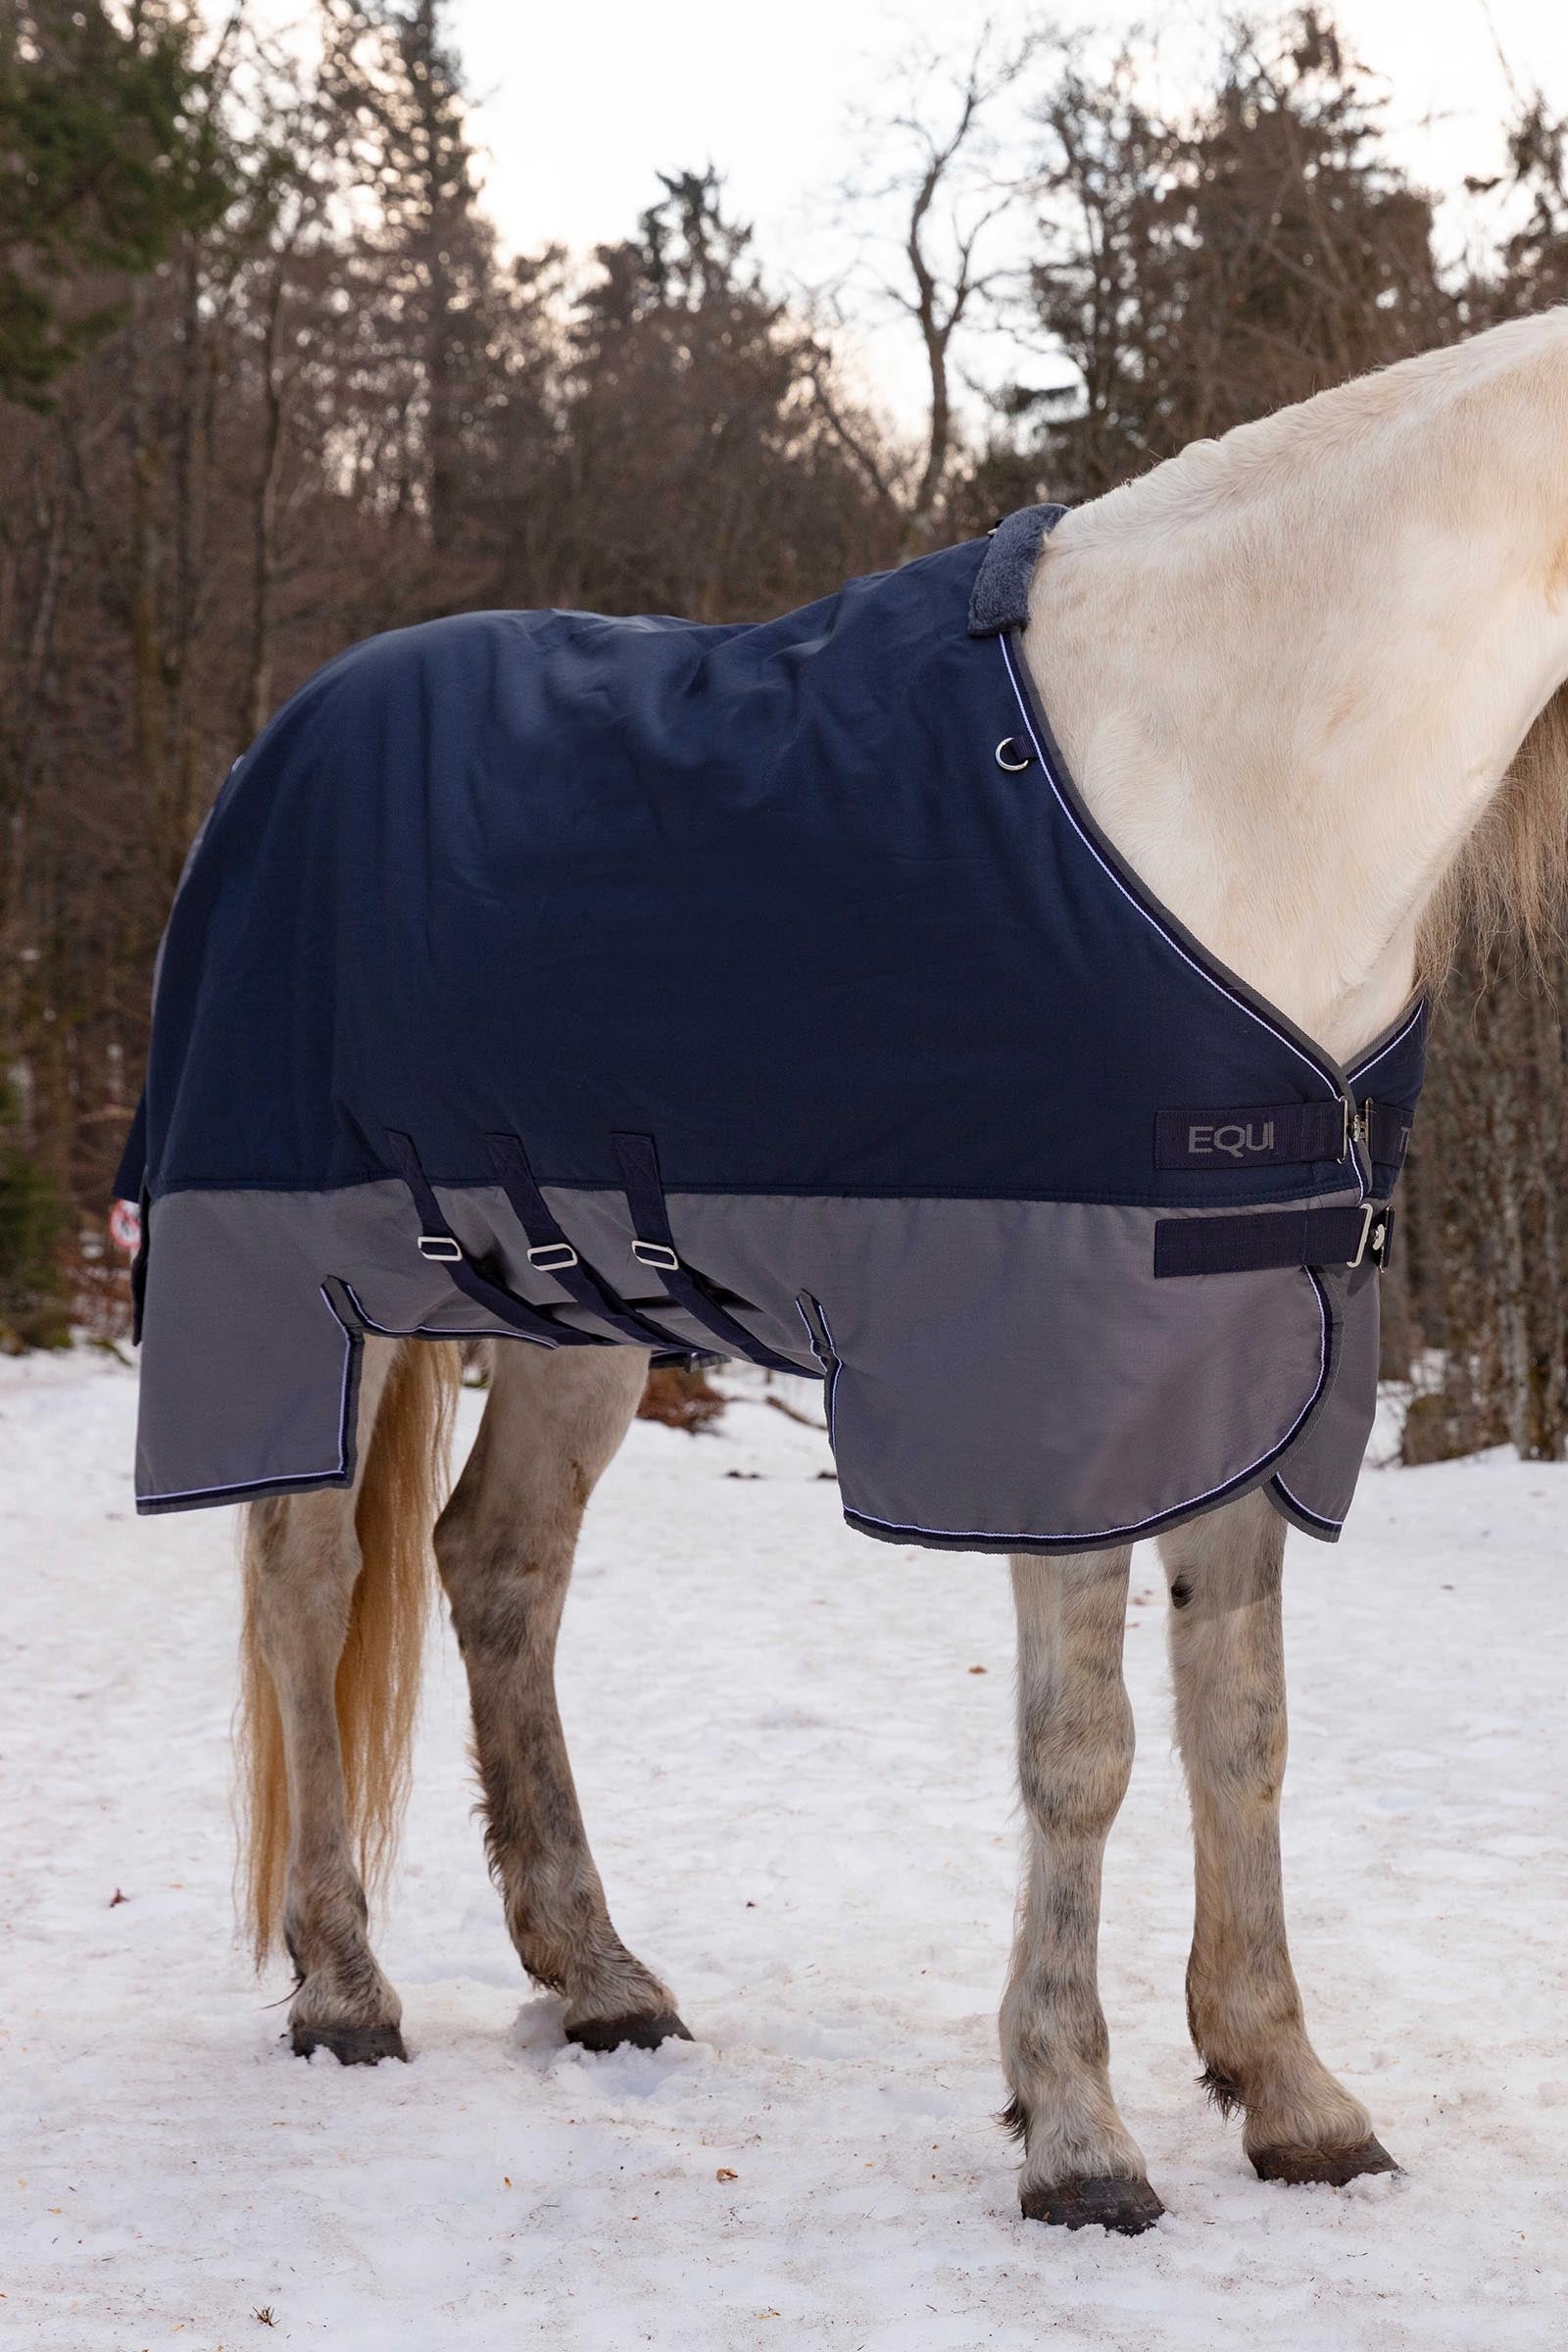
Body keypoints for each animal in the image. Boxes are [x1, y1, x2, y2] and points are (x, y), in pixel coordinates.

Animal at [231, 307, 1568, 2235]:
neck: (1229, 789)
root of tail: (288, 738)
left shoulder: (1255, 1349)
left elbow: (1243, 1725)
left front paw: (1290, 2092)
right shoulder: (1057, 1381)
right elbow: (1087, 1747)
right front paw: (1077, 2134)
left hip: (572, 1303)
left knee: (496, 1568)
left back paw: (601, 1978)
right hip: (298, 1287)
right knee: (312, 1576)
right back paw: (344, 1992)